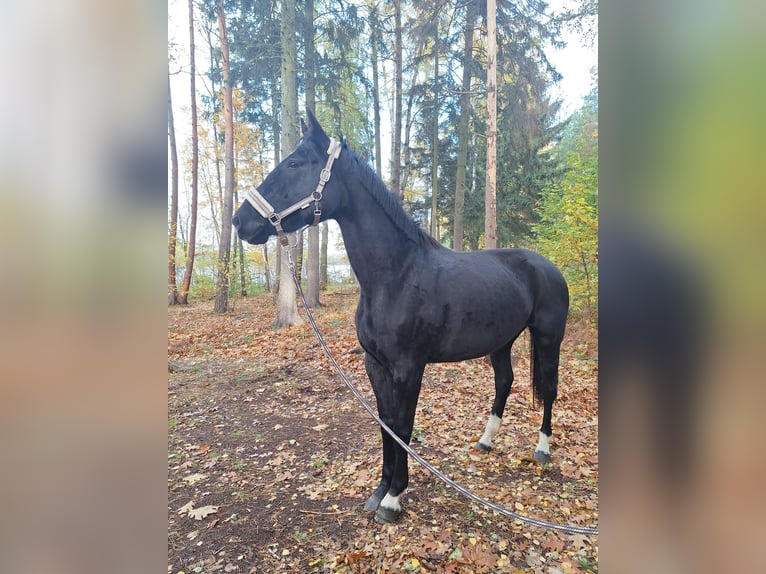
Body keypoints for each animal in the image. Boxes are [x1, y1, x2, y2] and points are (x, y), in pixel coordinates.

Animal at [233, 110, 569, 524]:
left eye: (295, 163)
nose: (240, 221)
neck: (397, 275)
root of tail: (547, 265)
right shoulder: (375, 365)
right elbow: (386, 425)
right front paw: (380, 490)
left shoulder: (409, 368)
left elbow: (403, 426)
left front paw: (393, 499)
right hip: (501, 342)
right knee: (504, 382)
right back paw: (485, 441)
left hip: (548, 338)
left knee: (549, 389)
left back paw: (542, 449)